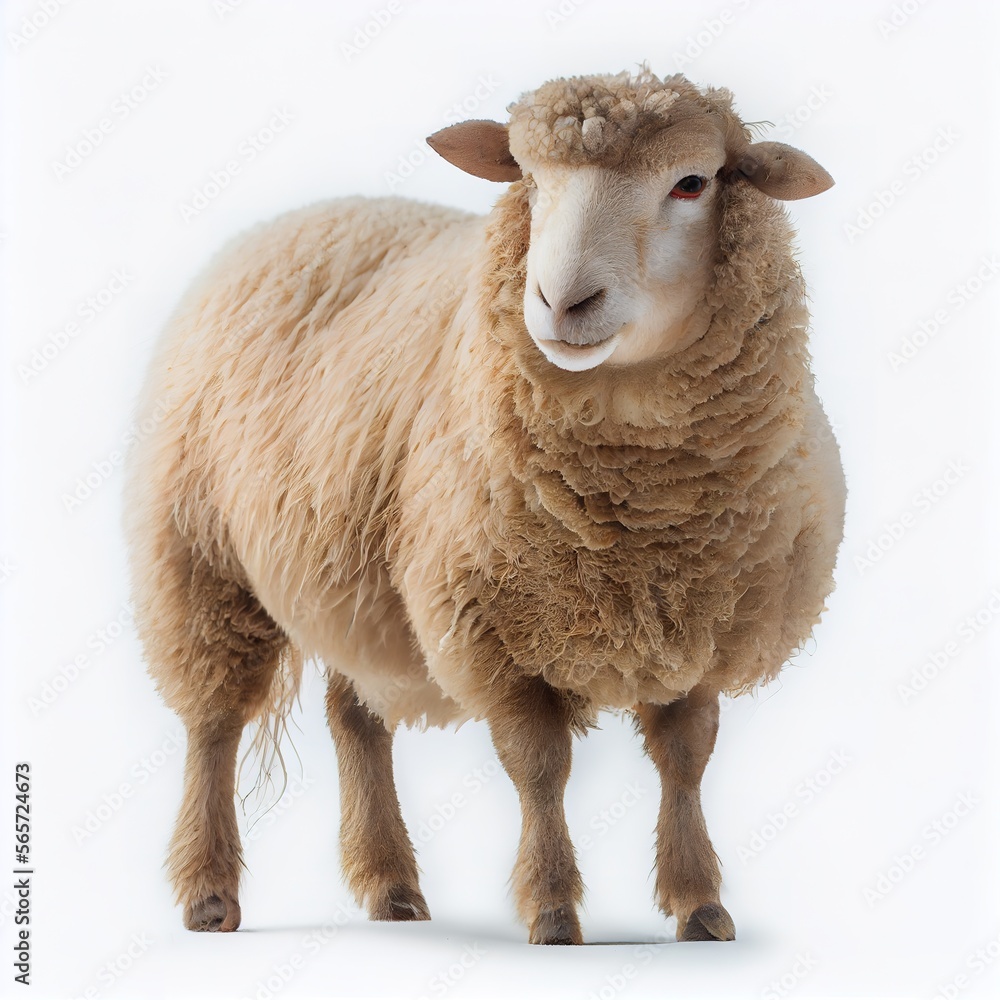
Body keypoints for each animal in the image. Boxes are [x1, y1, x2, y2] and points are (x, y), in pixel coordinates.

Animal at [123, 66, 845, 944]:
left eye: (692, 182)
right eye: (528, 178)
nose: (561, 302)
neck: (640, 519)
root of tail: (295, 216)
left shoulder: (704, 623)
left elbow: (686, 756)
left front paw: (699, 903)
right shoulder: (493, 625)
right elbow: (540, 766)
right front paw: (553, 908)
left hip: (355, 577)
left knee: (354, 717)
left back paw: (392, 886)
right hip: (200, 556)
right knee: (213, 723)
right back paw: (209, 890)